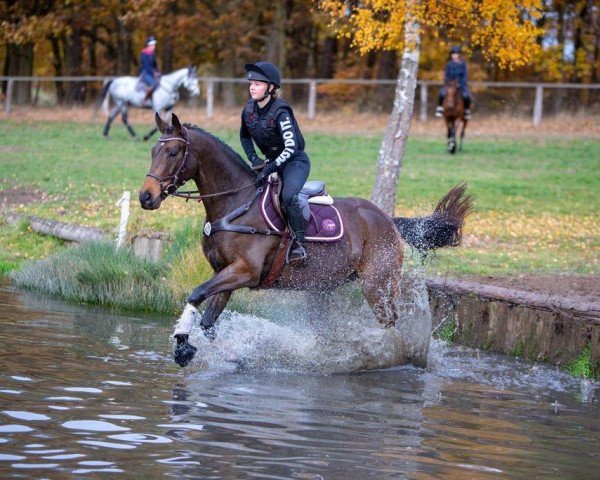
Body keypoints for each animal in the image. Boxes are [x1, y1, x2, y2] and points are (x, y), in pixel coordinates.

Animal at [138, 113, 476, 368]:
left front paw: (182, 344)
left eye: (173, 153)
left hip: (377, 284)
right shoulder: (225, 273)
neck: (236, 202)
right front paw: (229, 355)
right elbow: (209, 322)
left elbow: (196, 294)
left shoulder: (244, 271)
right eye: (152, 152)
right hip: (323, 287)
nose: (146, 197)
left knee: (390, 324)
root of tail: (387, 219)